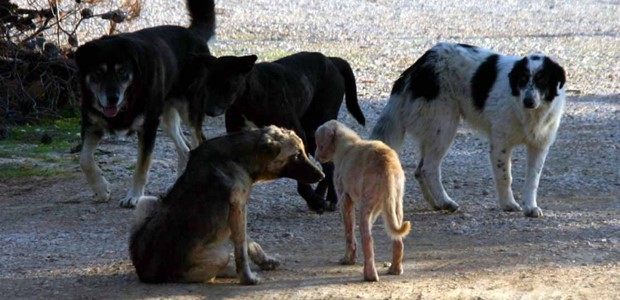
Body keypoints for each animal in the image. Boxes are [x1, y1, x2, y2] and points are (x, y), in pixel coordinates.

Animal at [75, 0, 216, 207]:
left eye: (122, 71)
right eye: (98, 72)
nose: (112, 98)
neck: (127, 99)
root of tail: (193, 33)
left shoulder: (148, 128)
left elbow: (141, 166)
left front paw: (133, 196)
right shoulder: (92, 124)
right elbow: (84, 159)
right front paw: (101, 189)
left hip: (188, 110)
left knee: (198, 142)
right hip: (165, 118)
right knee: (185, 149)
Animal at [130, 125, 324, 284]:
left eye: (303, 151)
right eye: (297, 155)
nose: (322, 175)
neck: (239, 157)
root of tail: (145, 272)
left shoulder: (237, 213)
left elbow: (250, 243)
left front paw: (264, 261)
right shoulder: (238, 208)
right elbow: (241, 249)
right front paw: (247, 278)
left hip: (146, 201)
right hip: (218, 256)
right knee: (212, 271)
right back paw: (229, 271)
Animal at [195, 51, 364, 212]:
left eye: (227, 84)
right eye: (207, 84)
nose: (208, 110)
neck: (248, 98)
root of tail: (331, 60)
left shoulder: (298, 136)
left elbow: (302, 177)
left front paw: (314, 201)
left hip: (315, 129)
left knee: (330, 165)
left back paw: (331, 199)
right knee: (327, 166)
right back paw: (321, 195)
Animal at [314, 119, 412, 282]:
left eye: (318, 143)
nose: (315, 156)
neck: (346, 143)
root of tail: (387, 163)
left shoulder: (345, 200)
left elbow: (349, 233)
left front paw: (348, 260)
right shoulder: (378, 208)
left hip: (366, 207)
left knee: (368, 239)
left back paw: (370, 275)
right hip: (395, 205)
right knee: (397, 240)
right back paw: (395, 269)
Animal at [368, 42, 568, 217]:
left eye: (542, 80)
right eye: (523, 79)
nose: (528, 101)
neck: (529, 113)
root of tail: (420, 63)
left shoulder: (539, 146)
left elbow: (533, 180)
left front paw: (530, 207)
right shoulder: (500, 144)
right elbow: (505, 176)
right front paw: (508, 204)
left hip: (433, 131)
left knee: (419, 170)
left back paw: (436, 203)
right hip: (444, 125)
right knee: (428, 168)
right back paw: (445, 202)